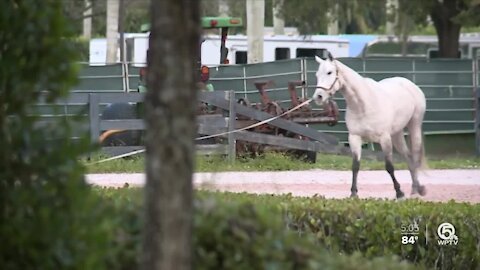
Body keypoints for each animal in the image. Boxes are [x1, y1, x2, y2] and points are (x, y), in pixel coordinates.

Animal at [316, 53, 428, 199]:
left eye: (329, 72)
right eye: (317, 75)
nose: (318, 96)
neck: (364, 104)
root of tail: (410, 84)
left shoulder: (384, 138)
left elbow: (389, 166)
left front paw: (399, 192)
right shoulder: (354, 138)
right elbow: (355, 166)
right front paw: (353, 193)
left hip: (414, 125)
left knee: (414, 155)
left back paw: (418, 190)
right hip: (396, 134)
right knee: (407, 156)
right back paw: (415, 189)